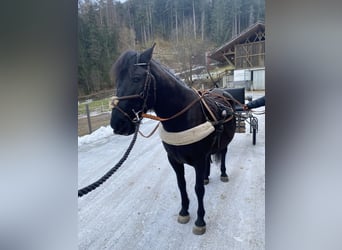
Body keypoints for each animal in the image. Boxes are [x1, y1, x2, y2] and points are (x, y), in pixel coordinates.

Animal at [109, 44, 235, 234]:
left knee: (224, 154)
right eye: (117, 81)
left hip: (224, 142)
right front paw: (184, 211)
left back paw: (223, 173)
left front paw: (200, 220)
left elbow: (198, 189)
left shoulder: (198, 160)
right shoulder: (174, 160)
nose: (117, 124)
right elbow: (181, 184)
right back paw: (206, 177)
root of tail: (222, 92)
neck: (183, 117)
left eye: (137, 78)